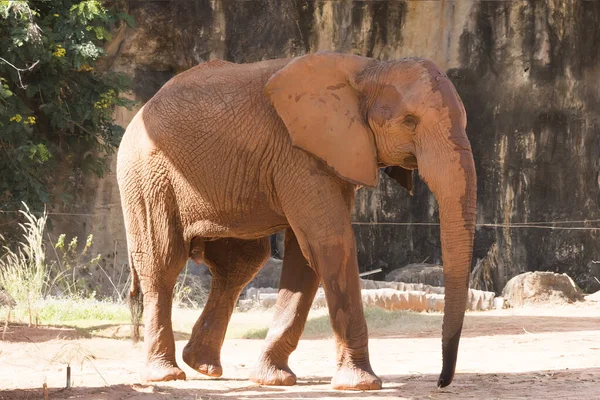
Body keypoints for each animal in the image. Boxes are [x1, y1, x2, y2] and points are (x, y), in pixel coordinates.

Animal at [115, 50, 476, 390]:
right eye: (410, 121)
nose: (441, 382)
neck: (369, 69)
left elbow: (307, 254)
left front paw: (272, 379)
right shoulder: (299, 152)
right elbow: (330, 241)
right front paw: (361, 384)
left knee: (241, 263)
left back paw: (202, 366)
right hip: (146, 177)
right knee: (163, 261)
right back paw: (166, 375)